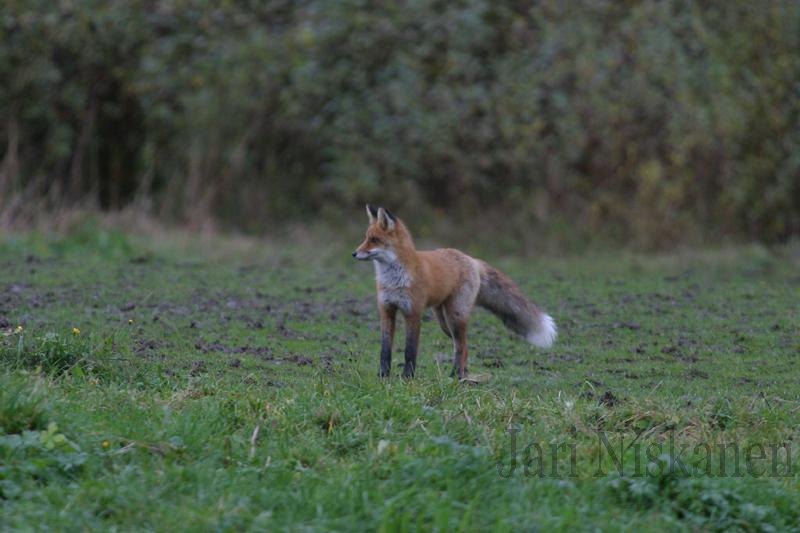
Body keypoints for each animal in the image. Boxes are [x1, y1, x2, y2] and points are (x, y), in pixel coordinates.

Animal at [352, 204, 557, 379]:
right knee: (463, 346)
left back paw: (457, 376)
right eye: (365, 238)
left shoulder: (413, 313)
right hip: (444, 322)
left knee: (462, 346)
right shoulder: (386, 310)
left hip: (455, 317)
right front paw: (383, 376)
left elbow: (410, 351)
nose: (354, 254)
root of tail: (471, 259)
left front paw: (408, 377)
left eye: (374, 240)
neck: (393, 279)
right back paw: (463, 373)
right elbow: (385, 349)